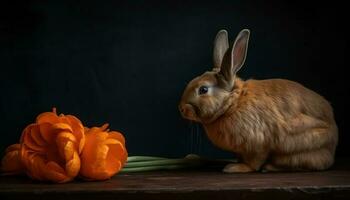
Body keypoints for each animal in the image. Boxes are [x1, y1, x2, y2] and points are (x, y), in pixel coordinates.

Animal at [179, 28, 338, 173]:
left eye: (203, 90)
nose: (181, 108)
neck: (233, 104)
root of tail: (333, 145)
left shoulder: (258, 144)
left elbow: (254, 162)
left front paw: (235, 168)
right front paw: (235, 164)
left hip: (299, 144)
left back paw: (269, 168)